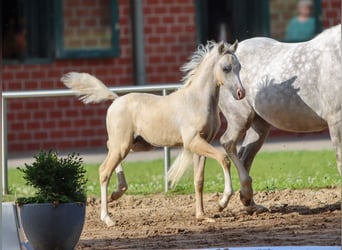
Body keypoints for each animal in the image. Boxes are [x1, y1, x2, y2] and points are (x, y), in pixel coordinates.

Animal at [219, 23, 342, 211]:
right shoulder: (336, 120)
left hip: (259, 126)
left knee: (244, 157)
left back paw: (250, 203)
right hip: (239, 118)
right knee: (228, 143)